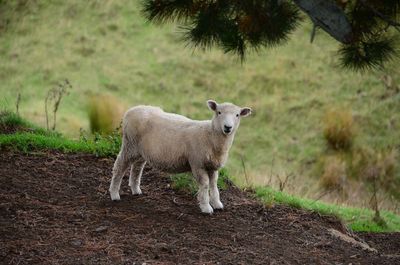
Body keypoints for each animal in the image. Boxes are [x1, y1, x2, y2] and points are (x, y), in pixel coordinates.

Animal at [108, 99, 252, 212]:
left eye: (237, 115)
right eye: (219, 112)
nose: (228, 127)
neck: (210, 136)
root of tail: (131, 110)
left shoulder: (212, 166)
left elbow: (213, 184)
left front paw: (217, 203)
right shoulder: (197, 163)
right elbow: (205, 184)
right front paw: (206, 207)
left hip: (141, 151)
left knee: (137, 167)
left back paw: (135, 189)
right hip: (129, 144)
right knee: (119, 166)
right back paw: (114, 194)